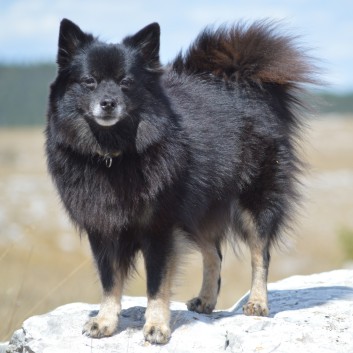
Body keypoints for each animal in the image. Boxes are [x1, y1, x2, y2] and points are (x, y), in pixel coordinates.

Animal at [44, 17, 316, 342]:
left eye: (126, 82)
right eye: (89, 81)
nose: (108, 103)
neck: (115, 154)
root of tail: (244, 84)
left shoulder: (159, 228)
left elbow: (157, 285)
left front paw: (156, 326)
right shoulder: (103, 229)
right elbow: (110, 281)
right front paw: (105, 321)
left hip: (254, 202)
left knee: (260, 254)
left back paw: (257, 303)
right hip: (199, 210)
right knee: (214, 254)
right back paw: (206, 300)